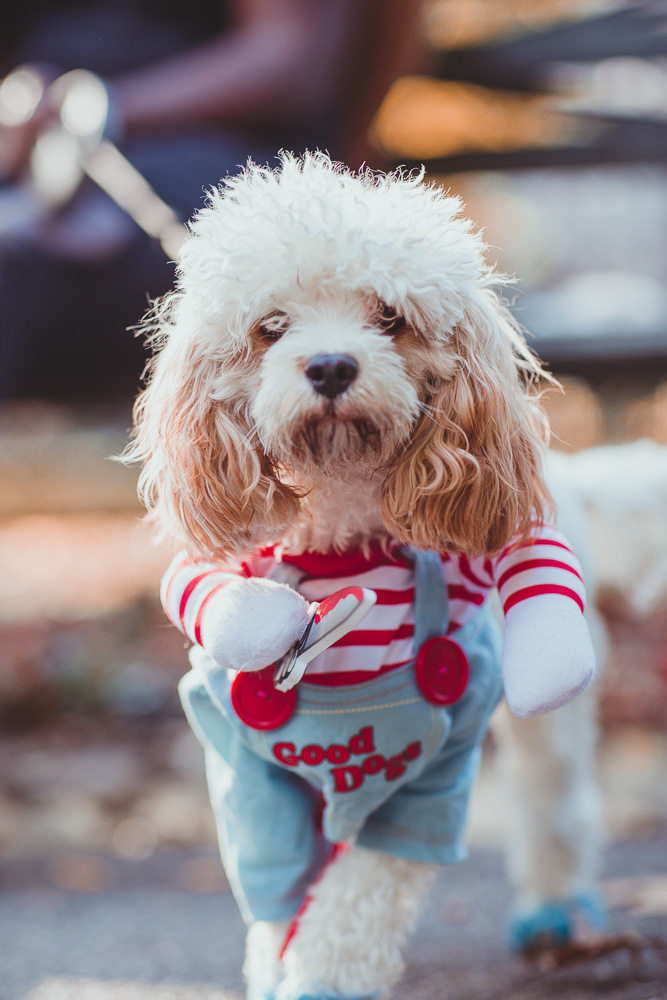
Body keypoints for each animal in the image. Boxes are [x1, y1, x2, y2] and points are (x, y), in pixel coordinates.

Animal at [125, 150, 600, 1000]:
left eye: (390, 318)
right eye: (270, 327)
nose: (329, 365)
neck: (343, 543)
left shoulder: (431, 769)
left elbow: (355, 900)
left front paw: (319, 976)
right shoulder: (242, 762)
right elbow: (277, 888)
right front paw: (274, 962)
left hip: (545, 715)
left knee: (557, 807)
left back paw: (554, 911)